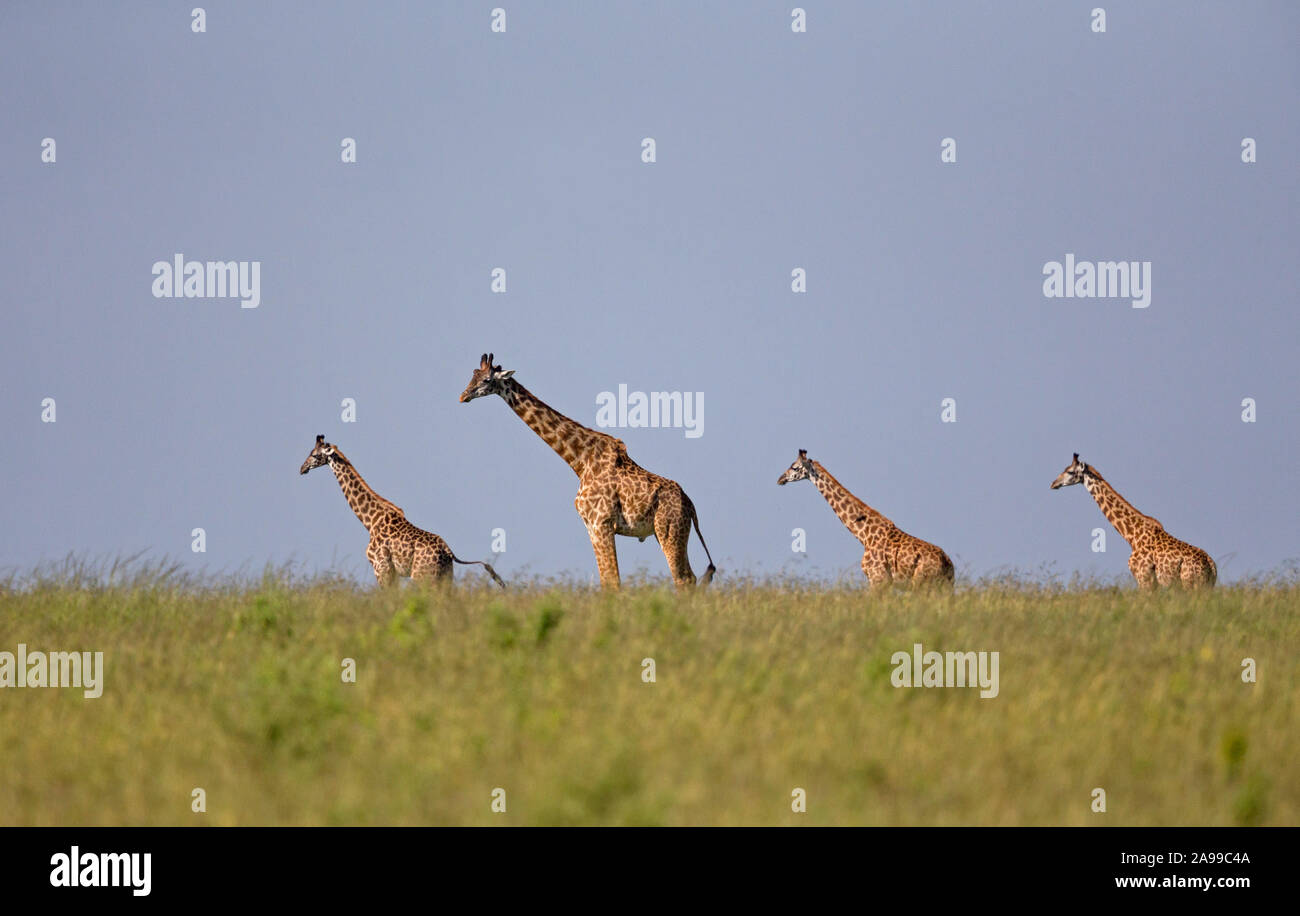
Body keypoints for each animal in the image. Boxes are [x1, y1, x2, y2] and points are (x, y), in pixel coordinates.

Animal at [299, 435, 504, 588]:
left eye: (315, 455)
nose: (302, 468)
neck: (369, 521)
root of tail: (448, 551)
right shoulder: (391, 572)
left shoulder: (381, 568)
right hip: (445, 577)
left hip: (423, 577)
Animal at [459, 353, 716, 589]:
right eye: (472, 375)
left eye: (486, 380)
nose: (463, 396)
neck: (579, 462)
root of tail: (690, 506)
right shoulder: (591, 527)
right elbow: (608, 581)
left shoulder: (601, 523)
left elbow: (612, 581)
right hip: (666, 533)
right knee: (690, 577)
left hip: (669, 529)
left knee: (682, 578)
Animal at [778, 449, 954, 590]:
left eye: (794, 467)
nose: (780, 478)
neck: (864, 535)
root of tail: (947, 562)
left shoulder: (878, 579)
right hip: (944, 587)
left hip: (921, 583)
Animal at [1050, 453, 1216, 589]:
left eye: (1070, 471)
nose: (1053, 483)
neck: (1132, 535)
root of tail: (1212, 565)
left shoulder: (1144, 578)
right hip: (1205, 586)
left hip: (1191, 583)